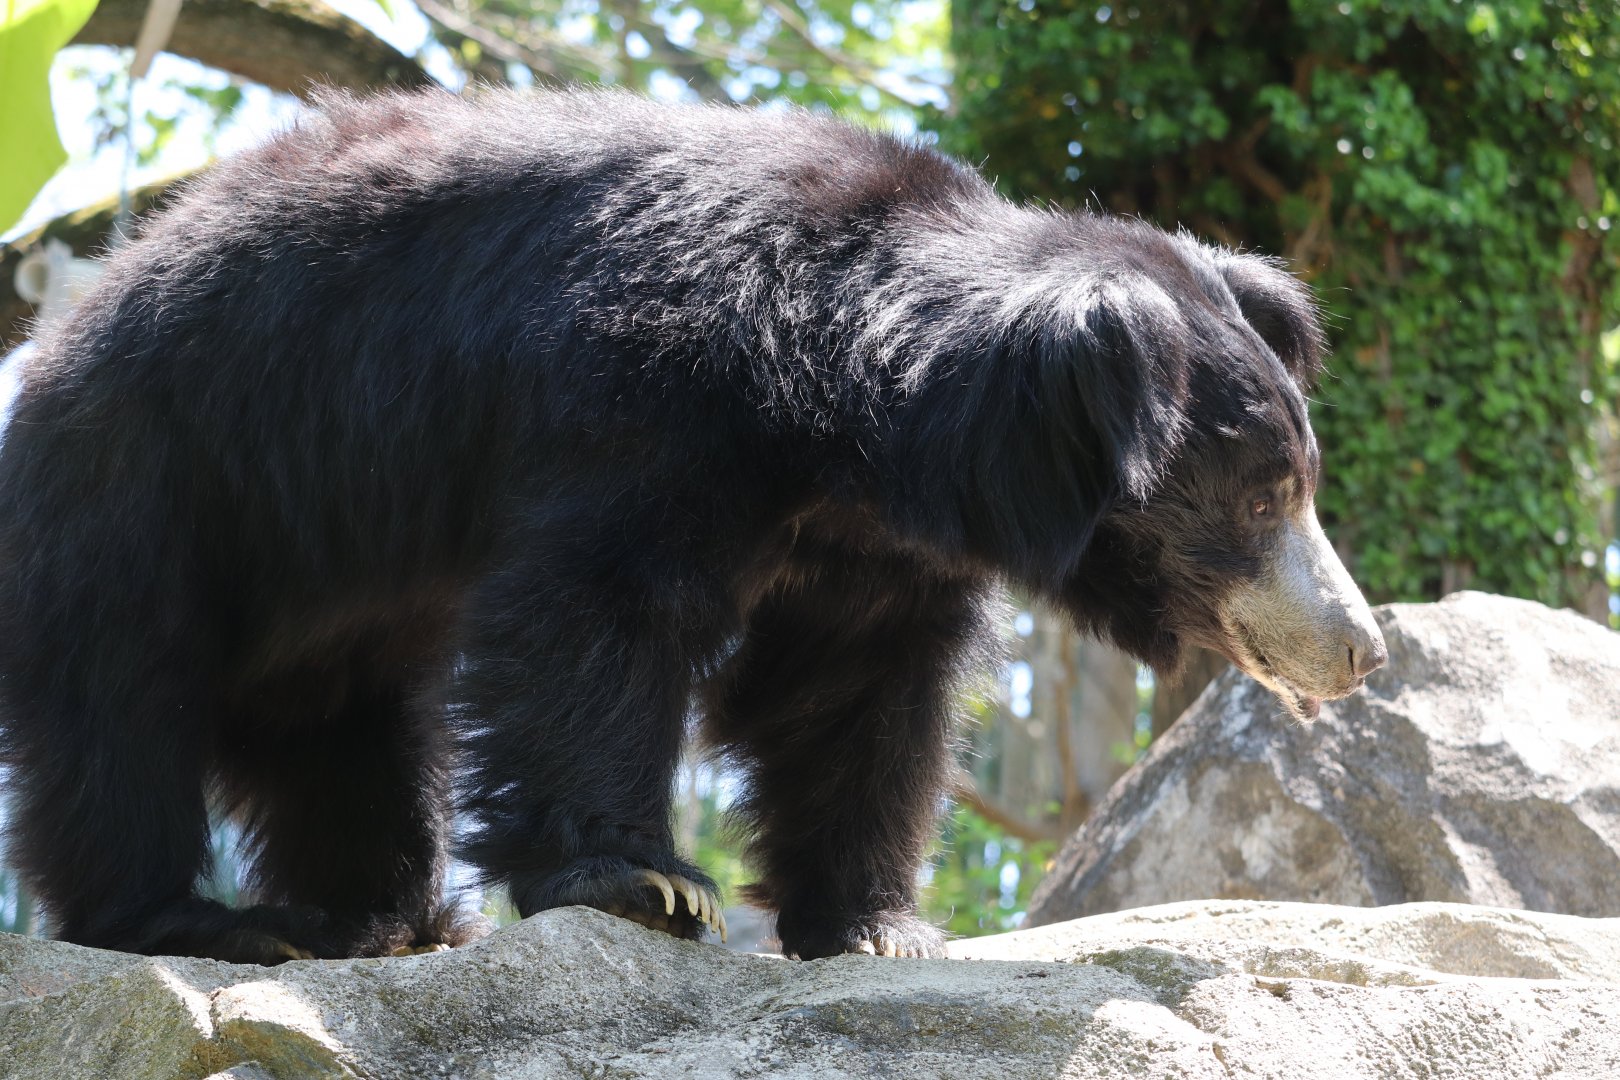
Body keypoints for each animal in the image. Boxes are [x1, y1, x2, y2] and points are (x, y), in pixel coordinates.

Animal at [0, 89, 1385, 964]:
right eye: (1269, 494)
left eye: (1303, 482)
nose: (1361, 648)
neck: (846, 428)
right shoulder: (638, 394)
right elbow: (596, 612)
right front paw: (650, 885)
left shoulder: (877, 547)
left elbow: (852, 690)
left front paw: (876, 927)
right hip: (158, 481)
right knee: (118, 700)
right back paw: (202, 923)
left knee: (346, 731)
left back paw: (393, 918)